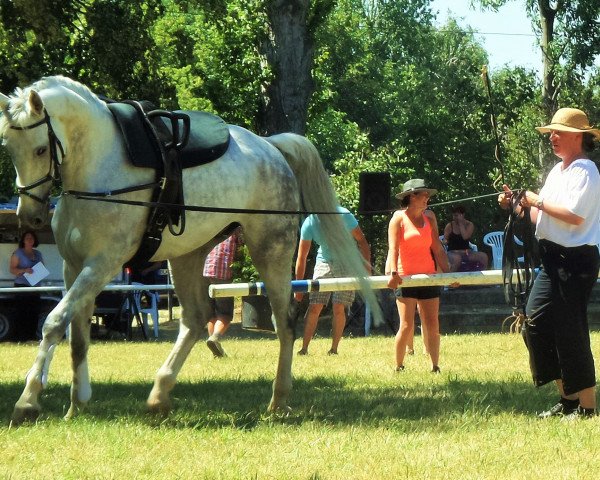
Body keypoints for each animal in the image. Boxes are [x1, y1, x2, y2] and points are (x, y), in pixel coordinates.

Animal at [0, 76, 378, 424]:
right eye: (9, 147)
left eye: (40, 149)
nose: (30, 216)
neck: (98, 173)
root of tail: (271, 147)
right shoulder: (73, 267)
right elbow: (77, 336)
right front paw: (77, 404)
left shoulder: (102, 264)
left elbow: (53, 322)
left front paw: (28, 401)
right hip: (185, 256)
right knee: (195, 321)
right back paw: (159, 395)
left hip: (271, 252)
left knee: (284, 323)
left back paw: (278, 401)